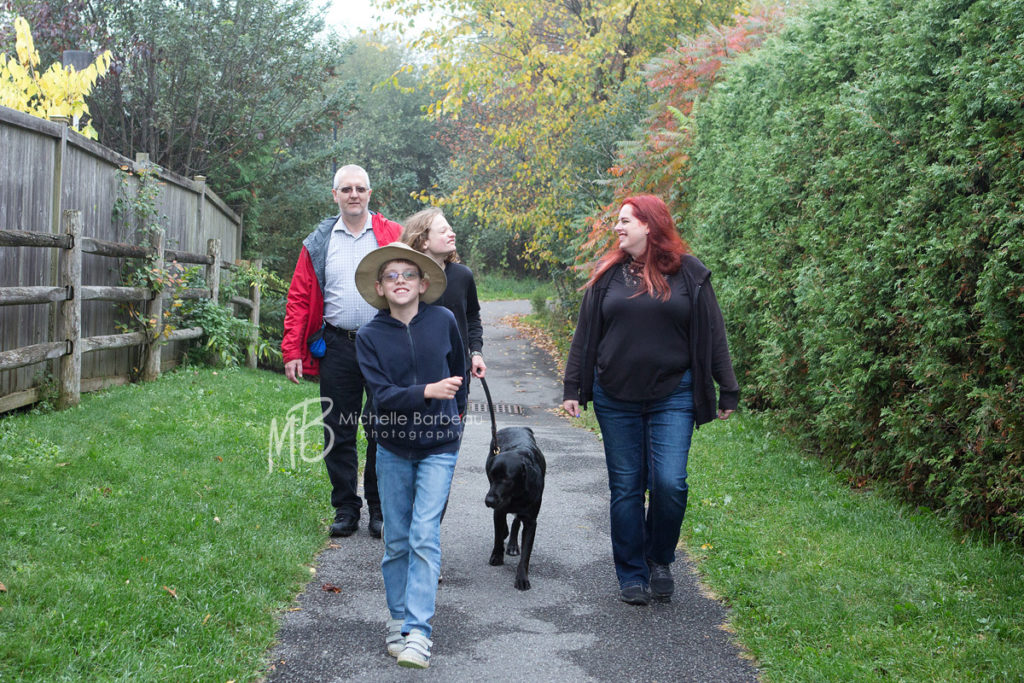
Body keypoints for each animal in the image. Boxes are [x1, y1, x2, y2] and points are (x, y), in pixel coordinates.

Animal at [479, 378, 544, 589]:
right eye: (492, 476)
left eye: (507, 479)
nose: (489, 500)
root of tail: (519, 427)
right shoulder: (499, 510)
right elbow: (499, 532)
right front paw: (497, 555)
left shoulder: (531, 520)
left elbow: (526, 554)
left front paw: (522, 577)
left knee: (516, 521)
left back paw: (514, 544)